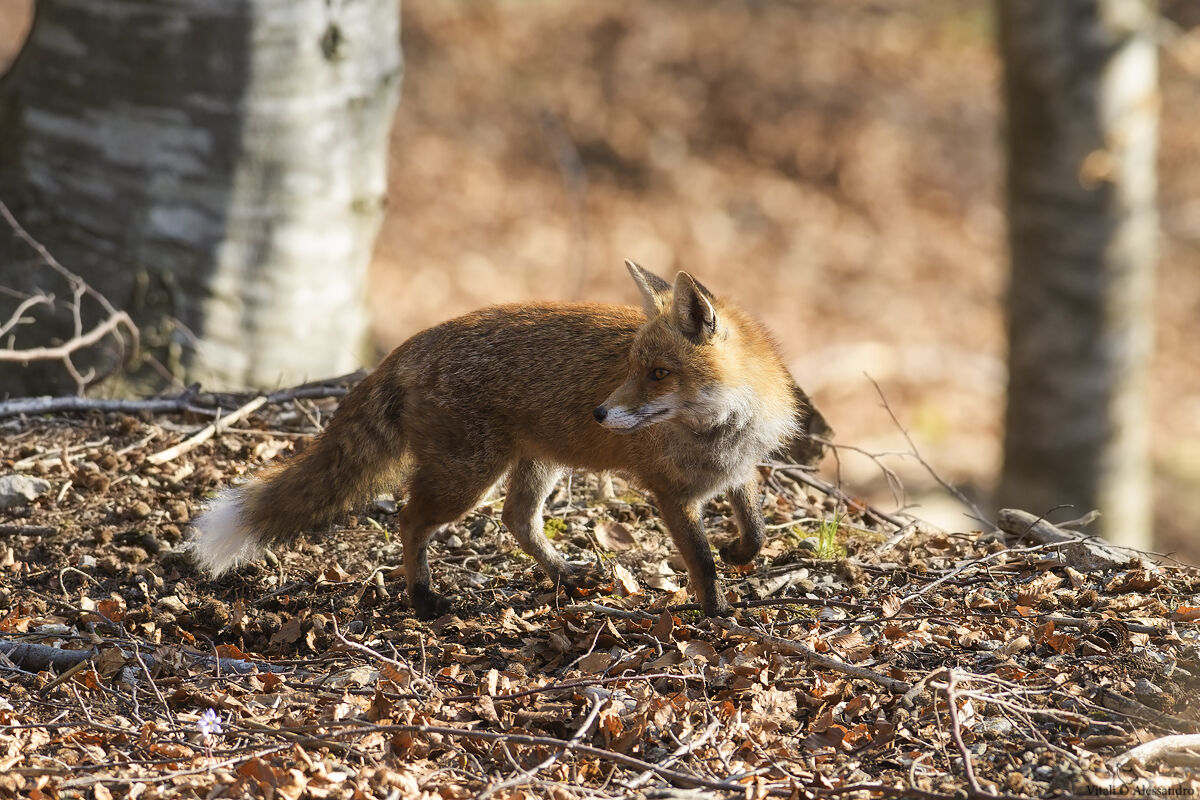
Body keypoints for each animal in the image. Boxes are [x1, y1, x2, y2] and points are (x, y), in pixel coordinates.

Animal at [190, 261, 829, 618]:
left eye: (657, 373)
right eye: (631, 367)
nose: (600, 412)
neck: (721, 429)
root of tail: (408, 346)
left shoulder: (737, 472)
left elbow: (756, 530)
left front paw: (741, 552)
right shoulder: (670, 495)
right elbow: (700, 561)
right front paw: (716, 614)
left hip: (537, 464)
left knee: (517, 521)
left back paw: (564, 574)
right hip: (467, 478)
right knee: (410, 517)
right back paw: (422, 598)